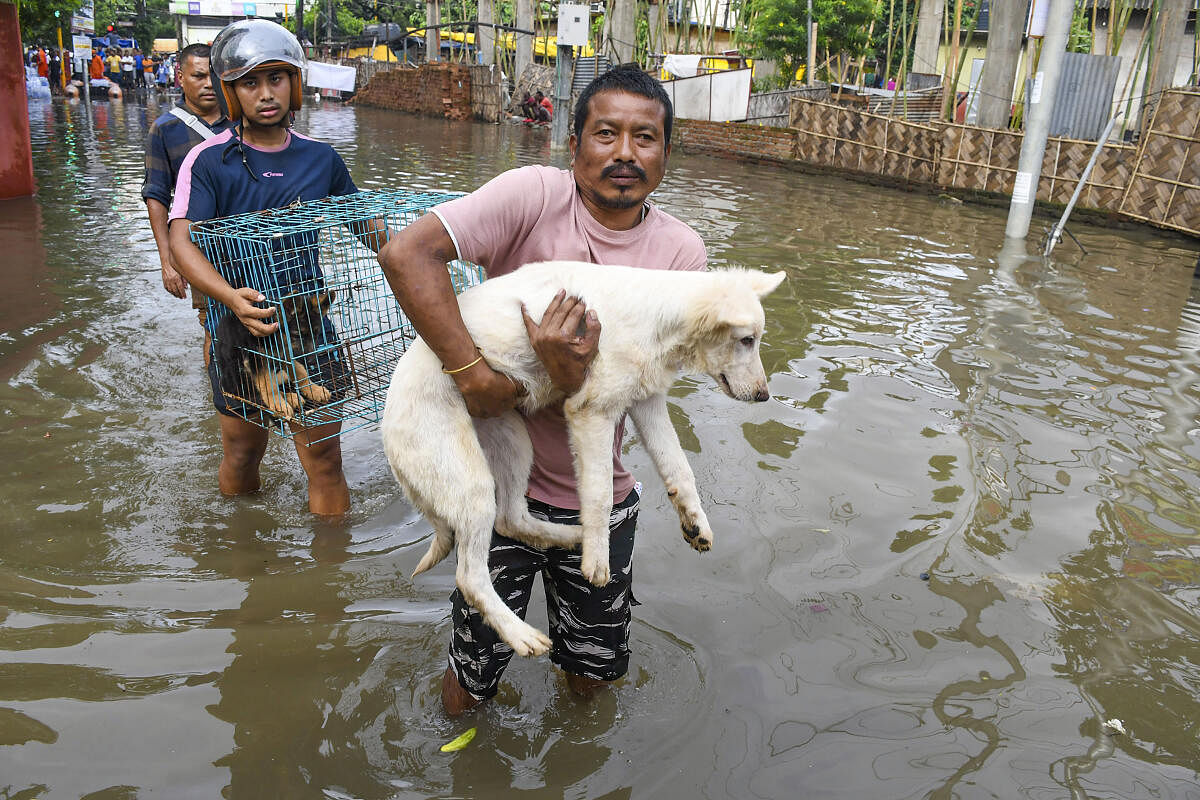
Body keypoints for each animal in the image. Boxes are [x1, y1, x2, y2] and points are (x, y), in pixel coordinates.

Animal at [214, 291, 336, 422]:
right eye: (297, 335)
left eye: (316, 334)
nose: (312, 361)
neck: (274, 336)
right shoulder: (257, 360)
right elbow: (268, 387)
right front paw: (279, 404)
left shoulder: (284, 354)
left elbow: (300, 371)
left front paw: (313, 389)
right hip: (239, 376)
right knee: (255, 396)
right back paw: (290, 398)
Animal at [381, 262, 787, 657]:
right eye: (747, 340)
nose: (765, 396)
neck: (656, 319)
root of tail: (386, 422)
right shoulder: (591, 413)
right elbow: (599, 494)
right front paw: (598, 560)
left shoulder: (647, 403)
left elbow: (680, 469)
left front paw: (696, 524)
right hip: (472, 483)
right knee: (470, 576)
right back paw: (521, 633)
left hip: (514, 440)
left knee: (511, 518)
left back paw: (571, 536)